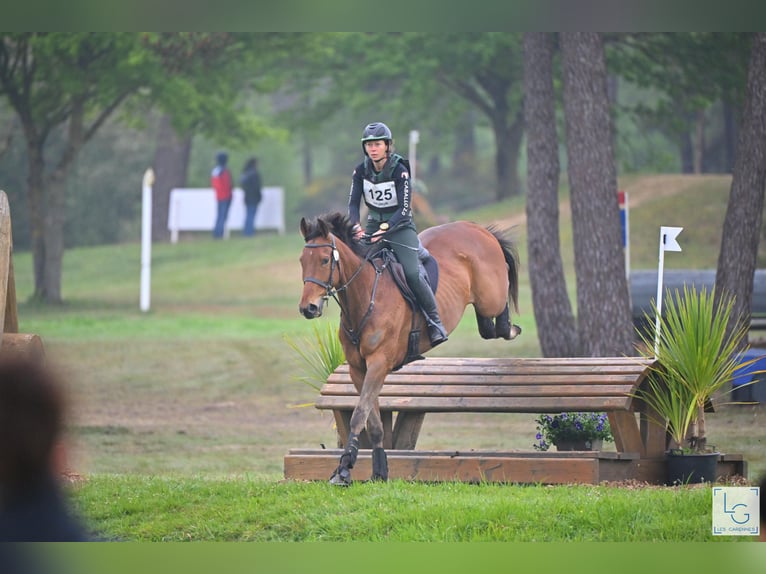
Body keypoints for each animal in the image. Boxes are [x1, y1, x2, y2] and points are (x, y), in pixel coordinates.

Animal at [298, 212, 521, 485]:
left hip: (491, 296)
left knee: (499, 305)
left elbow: (359, 414)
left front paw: (344, 469)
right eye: (302, 261)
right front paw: (379, 471)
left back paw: (510, 328)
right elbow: (373, 422)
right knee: (487, 327)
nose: (308, 308)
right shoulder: (358, 369)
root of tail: (478, 228)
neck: (366, 295)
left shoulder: (379, 364)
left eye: (324, 259)